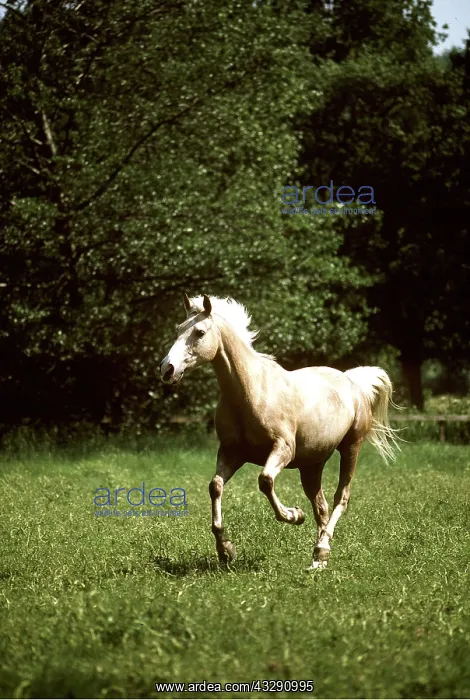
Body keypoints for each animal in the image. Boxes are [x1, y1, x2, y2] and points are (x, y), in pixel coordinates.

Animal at [160, 294, 400, 569]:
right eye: (178, 329)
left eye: (199, 332)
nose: (167, 369)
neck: (250, 392)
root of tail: (352, 381)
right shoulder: (231, 452)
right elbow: (216, 486)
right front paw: (225, 550)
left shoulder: (282, 449)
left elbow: (265, 481)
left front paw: (294, 515)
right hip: (312, 465)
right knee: (321, 506)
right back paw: (319, 557)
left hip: (351, 448)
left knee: (341, 497)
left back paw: (322, 549)